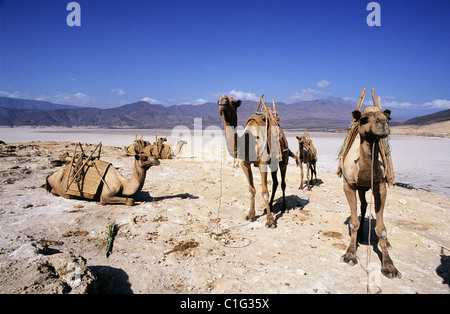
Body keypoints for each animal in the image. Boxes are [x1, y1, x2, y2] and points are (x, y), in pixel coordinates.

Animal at [217, 94, 294, 228]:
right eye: (218, 102)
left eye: (233, 102)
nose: (222, 102)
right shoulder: (244, 164)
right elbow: (251, 190)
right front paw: (251, 215)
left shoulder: (263, 163)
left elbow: (264, 192)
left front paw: (270, 221)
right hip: (273, 163)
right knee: (275, 182)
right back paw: (270, 207)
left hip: (283, 158)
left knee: (283, 182)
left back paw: (284, 207)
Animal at [340, 106, 400, 278]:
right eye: (364, 119)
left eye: (388, 118)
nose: (383, 122)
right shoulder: (348, 184)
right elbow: (353, 222)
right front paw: (350, 254)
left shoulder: (380, 186)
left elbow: (381, 229)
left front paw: (389, 266)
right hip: (359, 188)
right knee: (364, 205)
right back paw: (360, 235)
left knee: (366, 206)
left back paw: (386, 243)